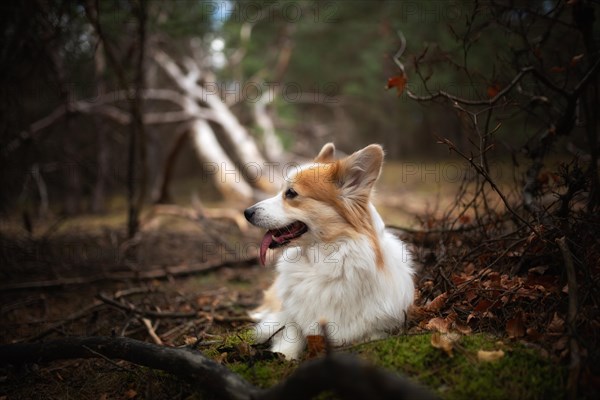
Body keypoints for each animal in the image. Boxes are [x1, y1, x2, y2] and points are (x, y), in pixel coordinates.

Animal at [243, 144, 412, 360]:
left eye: (291, 193)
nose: (246, 212)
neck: (321, 260)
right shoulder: (290, 315)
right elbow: (291, 331)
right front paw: (284, 353)